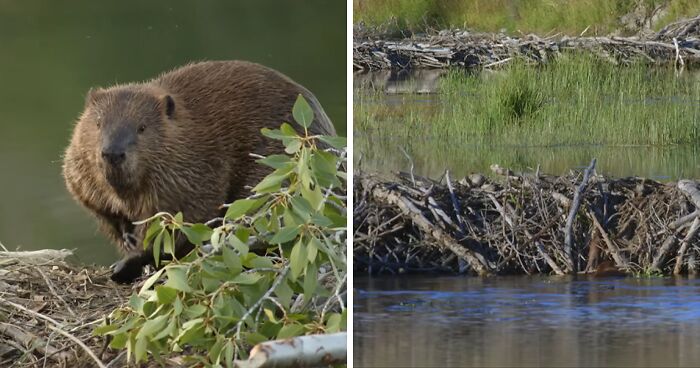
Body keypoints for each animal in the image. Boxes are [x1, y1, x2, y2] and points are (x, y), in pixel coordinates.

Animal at [62, 61, 336, 284]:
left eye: (142, 127)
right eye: (98, 123)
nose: (113, 153)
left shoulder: (197, 171)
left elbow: (184, 220)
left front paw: (128, 260)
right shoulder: (83, 175)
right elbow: (102, 209)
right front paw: (127, 237)